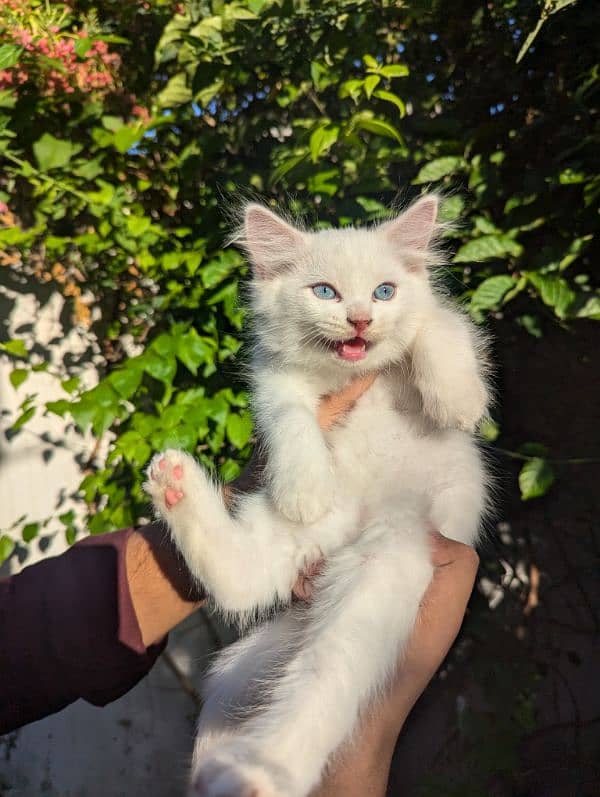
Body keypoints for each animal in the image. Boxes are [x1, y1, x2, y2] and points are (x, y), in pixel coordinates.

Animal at [144, 194, 488, 796]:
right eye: (324, 291)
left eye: (384, 291)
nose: (360, 319)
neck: (348, 375)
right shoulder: (273, 378)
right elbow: (288, 416)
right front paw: (304, 484)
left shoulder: (435, 317)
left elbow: (439, 327)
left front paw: (457, 398)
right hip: (288, 536)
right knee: (241, 581)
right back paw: (175, 482)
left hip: (389, 553)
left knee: (326, 673)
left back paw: (259, 769)